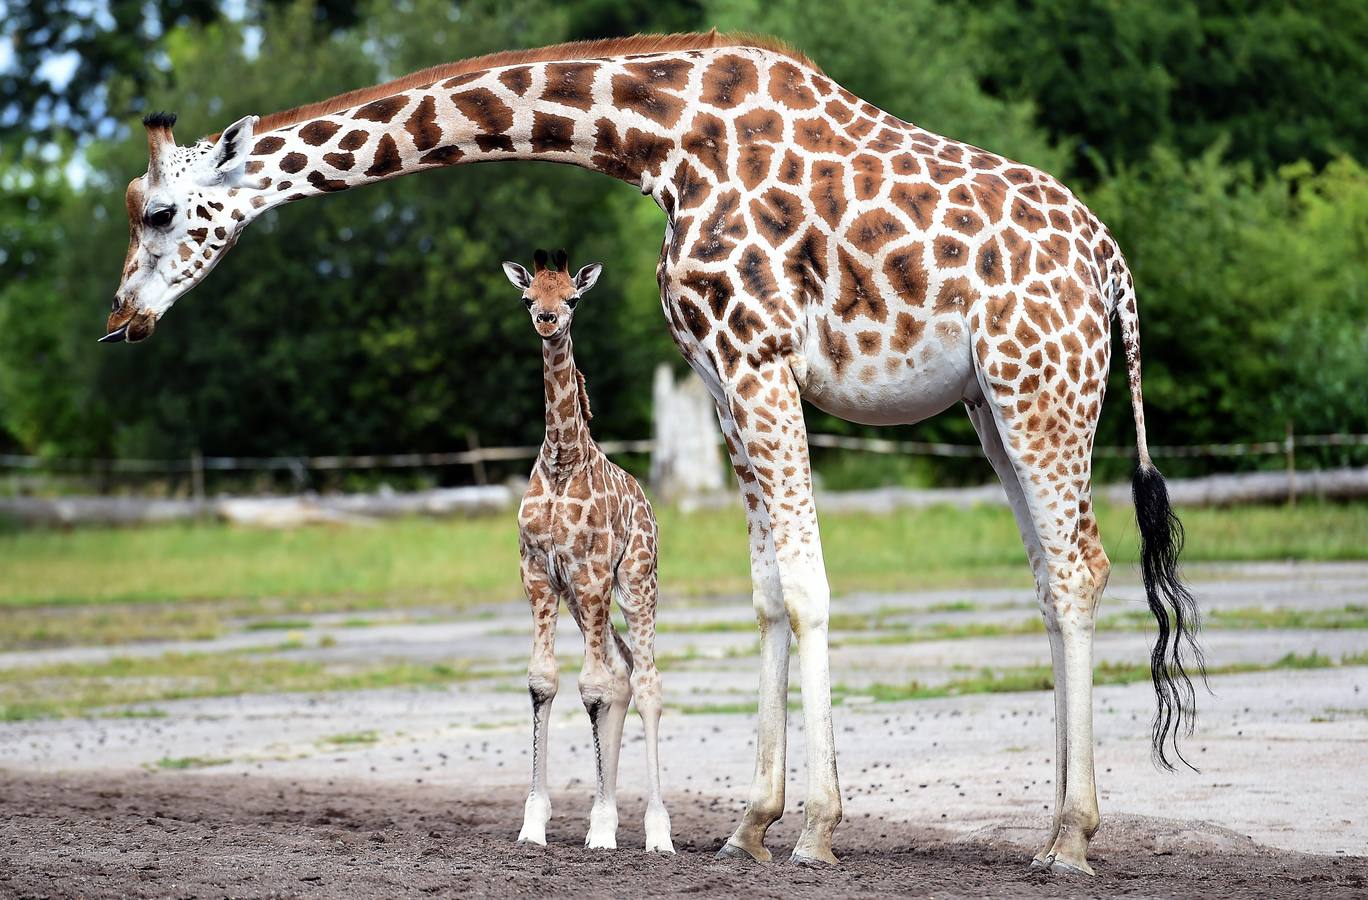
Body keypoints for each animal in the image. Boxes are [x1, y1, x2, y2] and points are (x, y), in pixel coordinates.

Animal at [503, 248, 673, 853]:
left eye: (572, 298)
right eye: (529, 296)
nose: (548, 320)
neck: (561, 460)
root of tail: (647, 503)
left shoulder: (594, 572)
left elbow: (593, 686)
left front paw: (600, 831)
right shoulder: (540, 574)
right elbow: (544, 680)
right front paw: (535, 825)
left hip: (636, 583)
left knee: (645, 681)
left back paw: (657, 832)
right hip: (585, 600)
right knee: (622, 671)